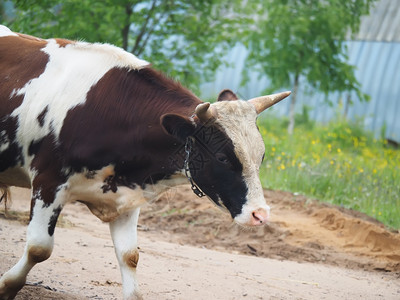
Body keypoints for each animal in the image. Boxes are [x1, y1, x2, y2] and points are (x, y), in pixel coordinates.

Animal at [0, 25, 290, 300]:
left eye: (261, 155)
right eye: (222, 157)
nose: (260, 214)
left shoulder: (127, 197)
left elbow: (129, 255)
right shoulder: (48, 183)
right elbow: (39, 248)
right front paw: (7, 286)